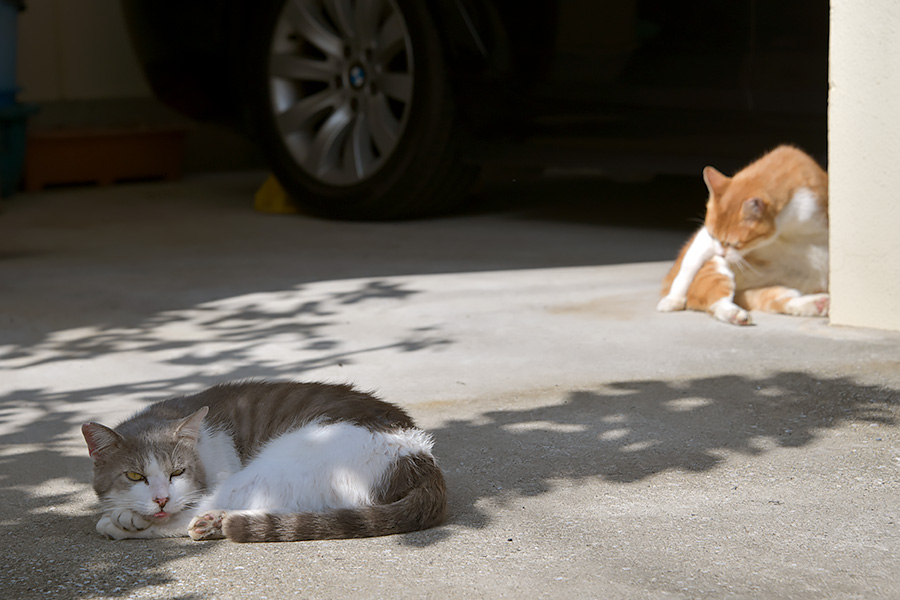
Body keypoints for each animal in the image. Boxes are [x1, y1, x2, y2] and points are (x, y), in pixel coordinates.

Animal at [82, 380, 448, 544]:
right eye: (133, 476)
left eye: (177, 472)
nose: (160, 499)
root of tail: (420, 451)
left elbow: (183, 507)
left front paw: (125, 518)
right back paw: (216, 522)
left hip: (280, 462)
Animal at [652, 145, 828, 326]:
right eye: (714, 236)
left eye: (734, 244)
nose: (721, 253)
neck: (791, 227)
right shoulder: (705, 238)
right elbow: (689, 266)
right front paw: (673, 299)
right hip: (715, 270)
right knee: (716, 302)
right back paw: (733, 313)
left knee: (781, 299)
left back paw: (818, 304)